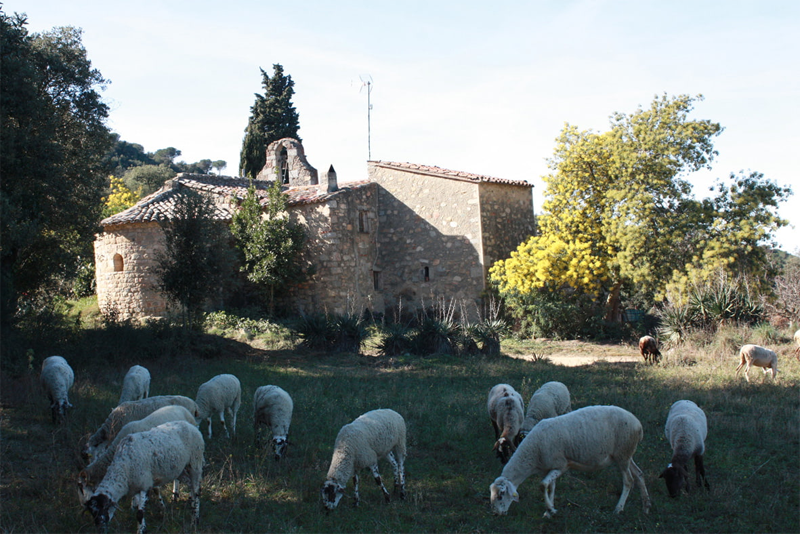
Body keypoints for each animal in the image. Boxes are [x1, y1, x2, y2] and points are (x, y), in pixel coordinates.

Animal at [490, 406, 652, 520]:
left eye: (501, 495)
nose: (496, 514)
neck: (533, 454)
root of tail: (638, 425)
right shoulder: (549, 468)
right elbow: (550, 487)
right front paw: (549, 511)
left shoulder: (561, 465)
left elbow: (543, 485)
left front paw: (550, 509)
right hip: (626, 454)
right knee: (639, 474)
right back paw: (646, 507)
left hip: (623, 454)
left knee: (629, 480)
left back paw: (619, 508)